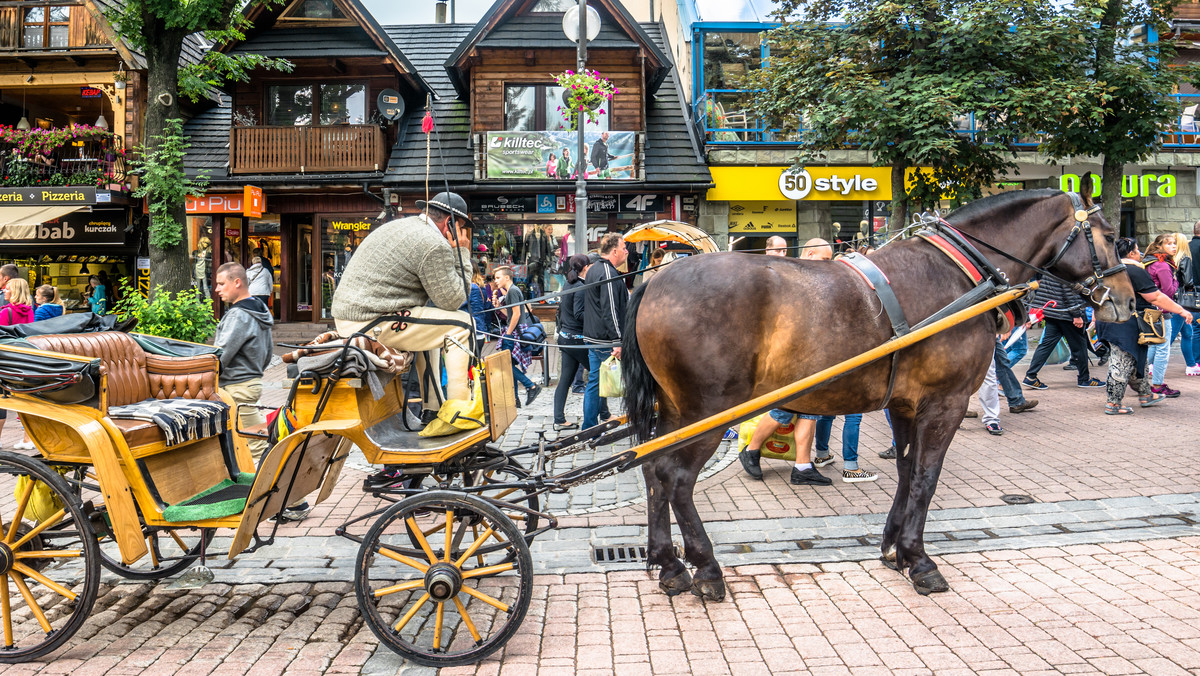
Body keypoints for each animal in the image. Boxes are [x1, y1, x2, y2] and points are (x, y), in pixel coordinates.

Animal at [619, 189, 1132, 597]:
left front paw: (893, 548)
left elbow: (906, 471)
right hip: (708, 410)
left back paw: (669, 564)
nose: (1128, 300)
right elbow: (925, 478)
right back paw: (705, 567)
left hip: (673, 410)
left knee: (652, 472)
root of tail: (655, 280)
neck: (958, 272)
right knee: (677, 479)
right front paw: (919, 560)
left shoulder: (906, 405)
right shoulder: (944, 404)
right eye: (1109, 236)